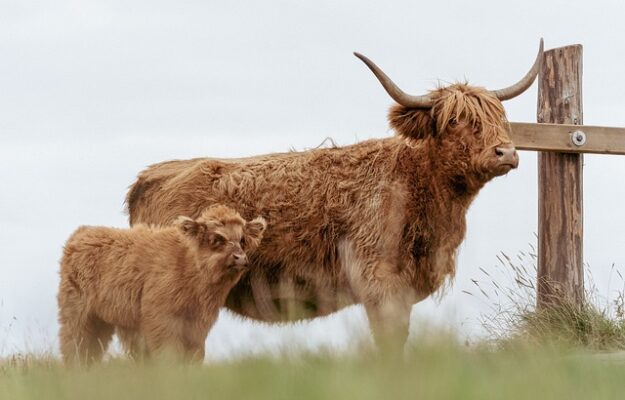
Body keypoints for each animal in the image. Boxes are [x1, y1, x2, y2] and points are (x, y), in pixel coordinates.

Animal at [56, 205, 266, 364]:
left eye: (242, 240)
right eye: (216, 239)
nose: (240, 258)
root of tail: (82, 233)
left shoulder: (197, 326)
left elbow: (194, 357)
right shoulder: (163, 321)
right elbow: (169, 356)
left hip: (103, 320)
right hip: (78, 314)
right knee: (75, 346)